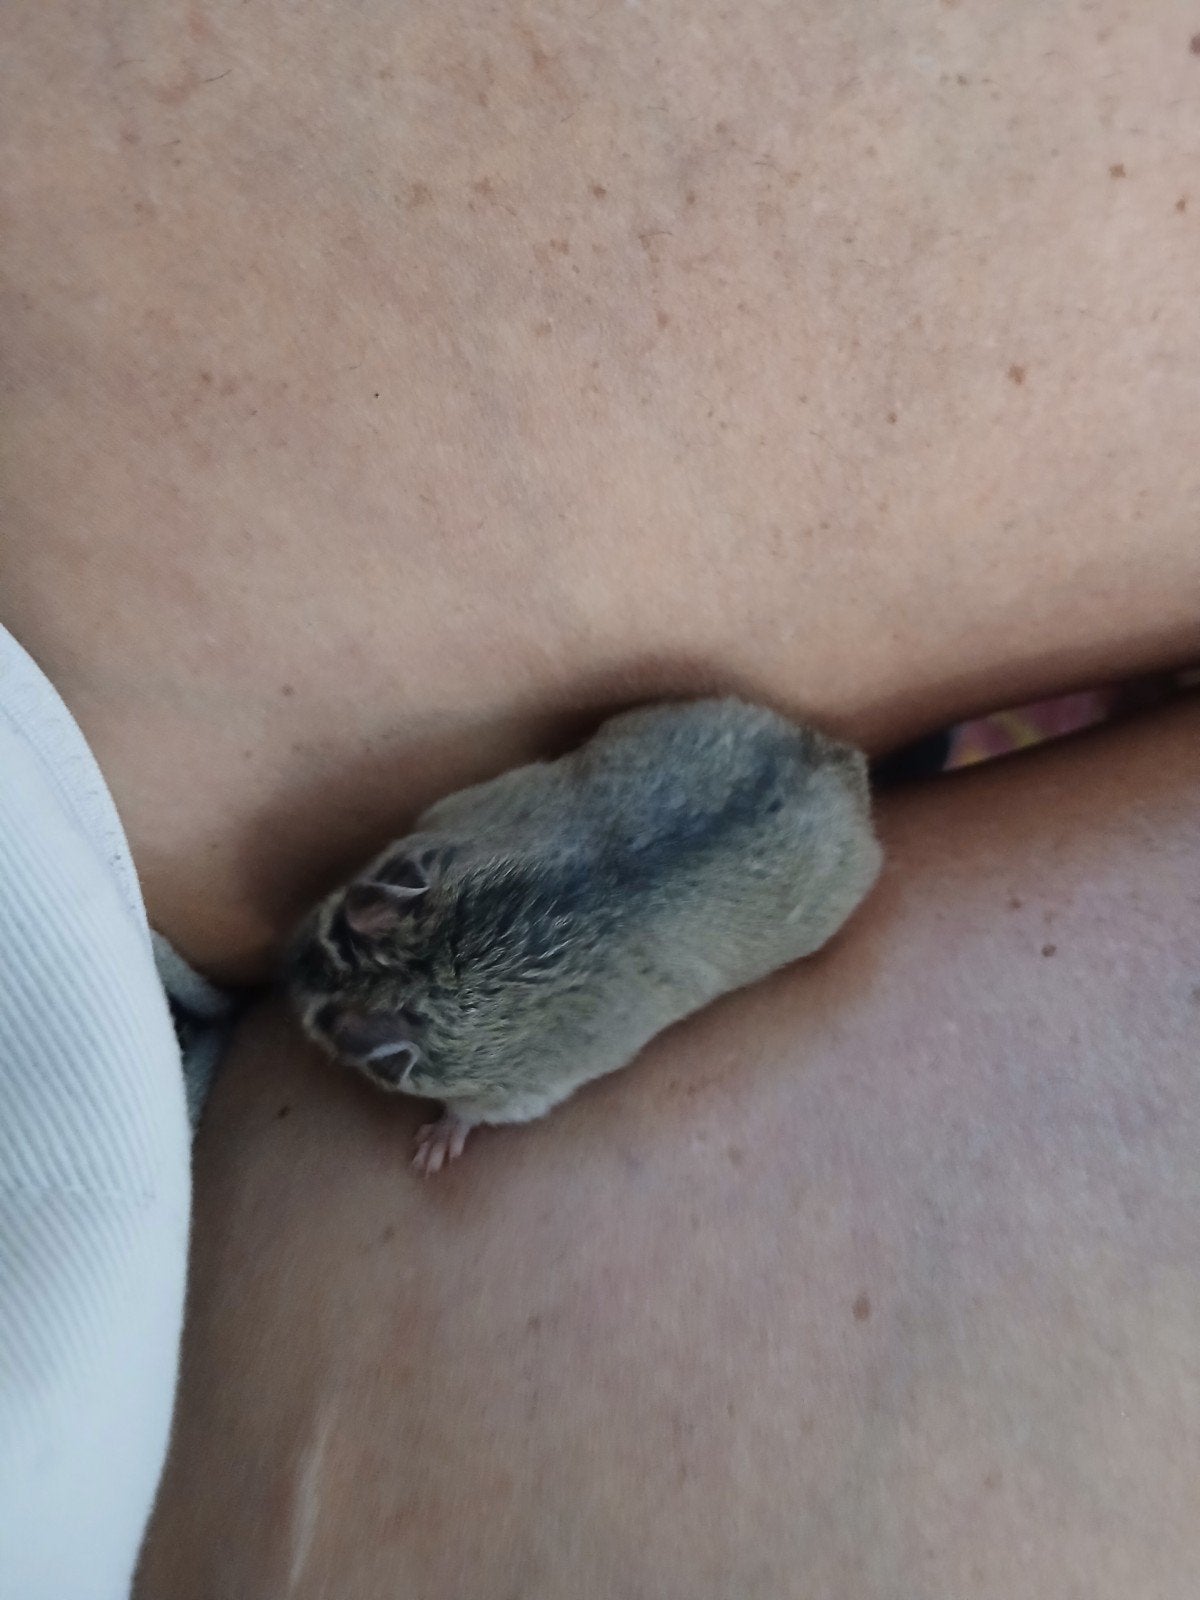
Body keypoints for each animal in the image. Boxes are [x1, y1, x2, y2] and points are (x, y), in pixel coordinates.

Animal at [284, 698, 882, 1172]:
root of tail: (847, 759)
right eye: (325, 926)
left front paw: (431, 1149)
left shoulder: (522, 1090)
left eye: (328, 1030)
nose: (280, 969)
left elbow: (469, 1112)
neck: (438, 958)